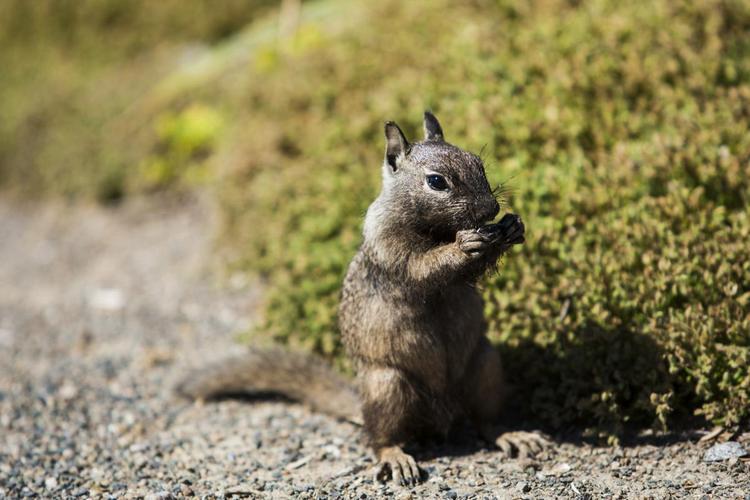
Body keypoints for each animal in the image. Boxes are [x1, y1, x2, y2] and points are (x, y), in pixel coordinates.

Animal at [177, 111, 548, 485]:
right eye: (436, 182)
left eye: (478, 163)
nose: (491, 208)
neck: (438, 230)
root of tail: (443, 415)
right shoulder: (391, 249)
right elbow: (424, 269)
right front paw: (463, 245)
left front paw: (512, 226)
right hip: (388, 387)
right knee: (379, 438)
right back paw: (397, 458)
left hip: (485, 365)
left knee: (485, 421)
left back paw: (513, 435)